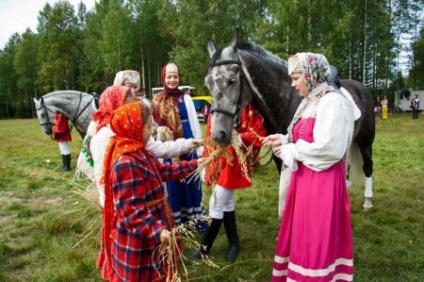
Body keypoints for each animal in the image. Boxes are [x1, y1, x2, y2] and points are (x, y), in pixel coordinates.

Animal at [205, 33, 374, 209]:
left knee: (368, 167)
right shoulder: (280, 156)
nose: (218, 134)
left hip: (366, 141)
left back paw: (368, 201)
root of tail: (361, 87)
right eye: (208, 83)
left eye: (231, 80)